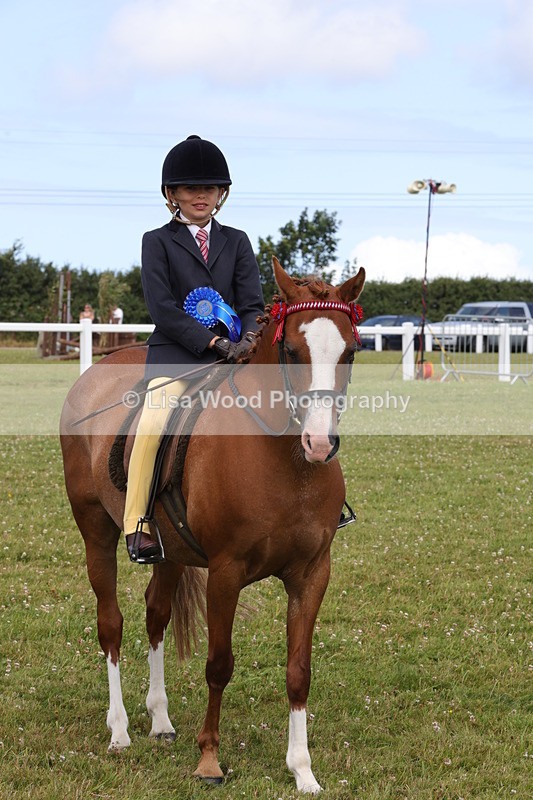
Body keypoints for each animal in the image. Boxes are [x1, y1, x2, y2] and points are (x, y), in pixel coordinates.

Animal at [59, 256, 365, 794]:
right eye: (291, 350)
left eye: (350, 351)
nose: (319, 444)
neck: (285, 462)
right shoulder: (225, 574)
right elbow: (219, 666)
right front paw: (209, 761)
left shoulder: (312, 575)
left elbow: (299, 671)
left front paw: (302, 770)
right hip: (95, 530)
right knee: (111, 624)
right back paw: (119, 731)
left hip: (169, 552)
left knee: (155, 614)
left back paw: (160, 720)